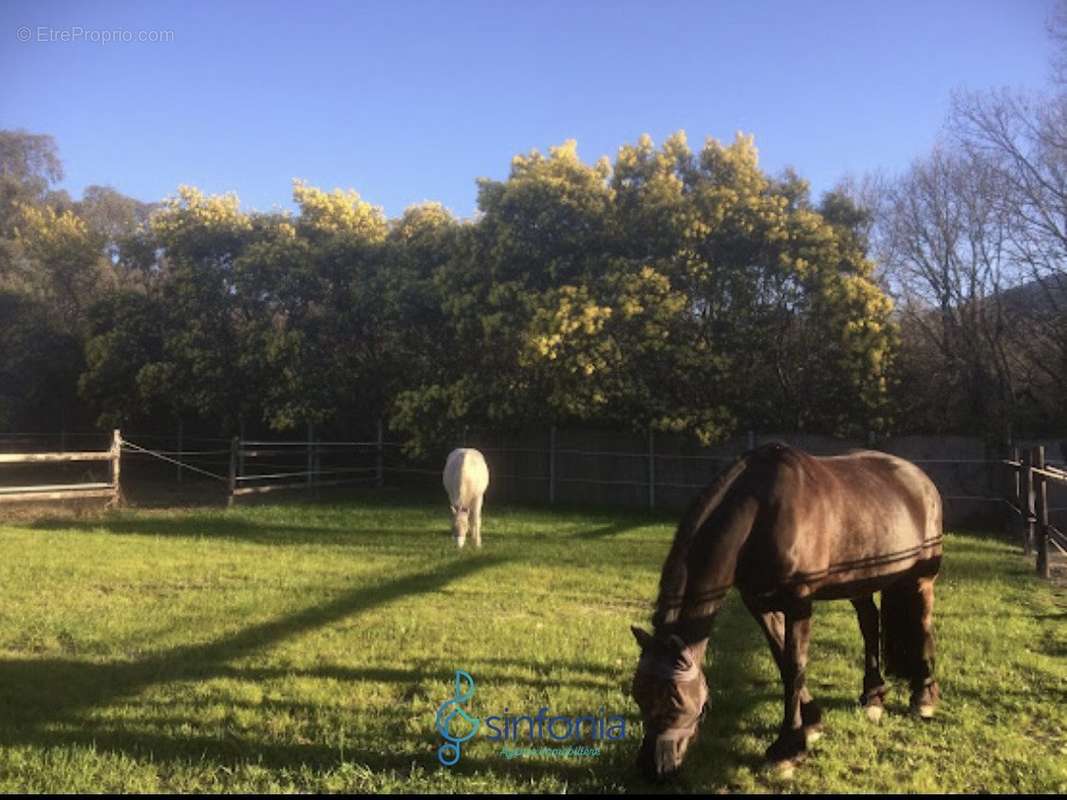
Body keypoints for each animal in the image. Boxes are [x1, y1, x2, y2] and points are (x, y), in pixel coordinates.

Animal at [627, 441, 938, 780]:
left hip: (922, 578)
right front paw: (811, 722)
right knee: (870, 624)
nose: (650, 768)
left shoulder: (798, 602)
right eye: (638, 695)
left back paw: (923, 697)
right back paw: (873, 696)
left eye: (676, 699)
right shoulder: (759, 603)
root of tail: (920, 479)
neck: (761, 512)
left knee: (923, 624)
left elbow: (795, 666)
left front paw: (788, 748)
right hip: (860, 581)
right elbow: (781, 659)